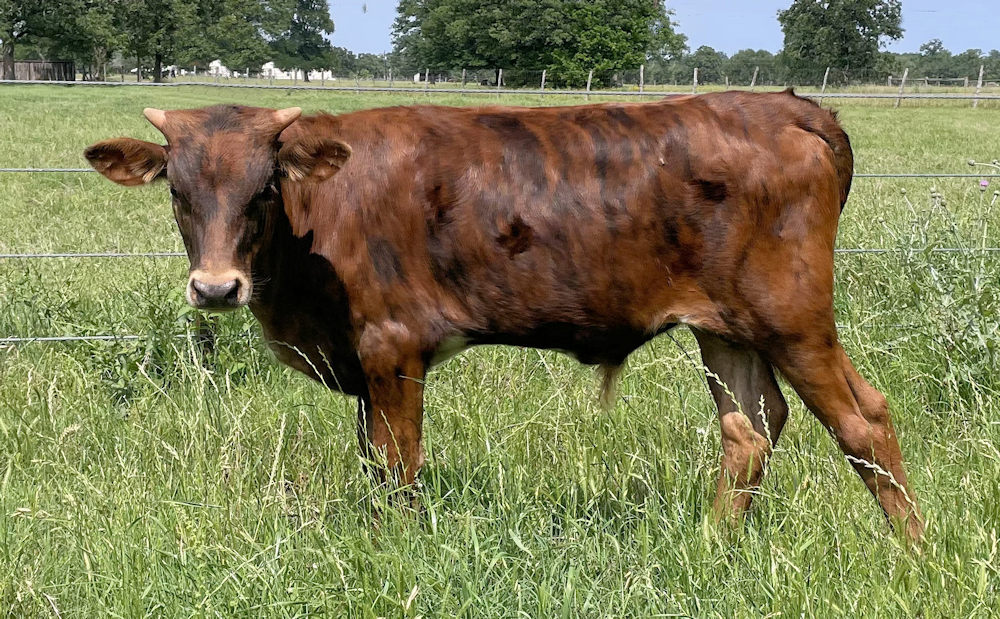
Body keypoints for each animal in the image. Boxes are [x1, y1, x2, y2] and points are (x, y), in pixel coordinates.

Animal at [83, 91, 923, 540]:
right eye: (177, 191)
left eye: (262, 188)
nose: (216, 288)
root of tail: (785, 105)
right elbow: (374, 462)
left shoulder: (390, 345)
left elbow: (397, 463)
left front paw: (395, 546)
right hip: (726, 327)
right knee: (749, 431)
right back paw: (710, 544)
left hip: (793, 316)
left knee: (864, 420)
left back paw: (913, 550)